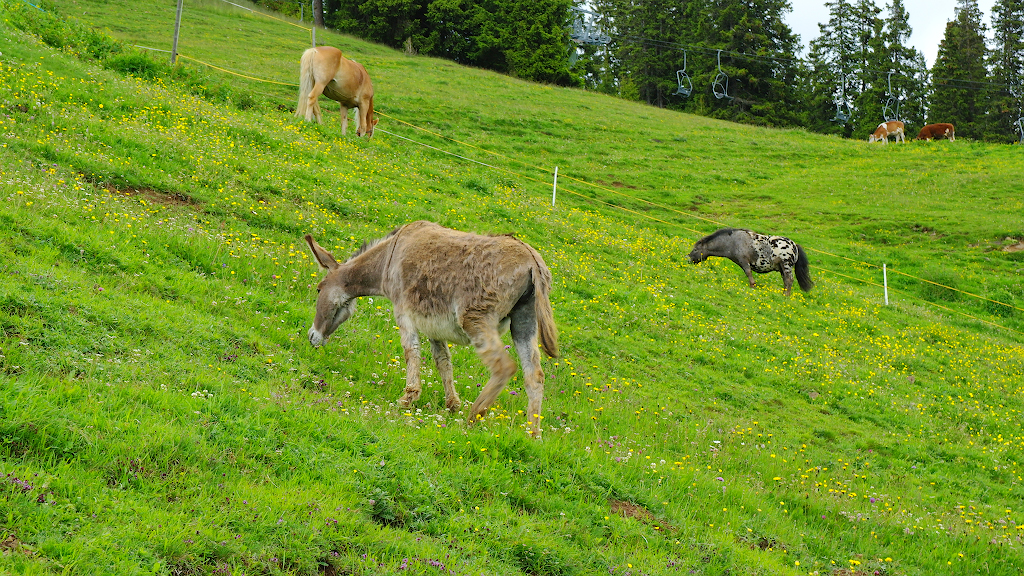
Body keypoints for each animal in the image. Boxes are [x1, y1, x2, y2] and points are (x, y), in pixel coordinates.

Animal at [303, 219, 561, 434]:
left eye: (318, 289)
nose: (311, 337)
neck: (388, 258)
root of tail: (532, 260)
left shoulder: (404, 312)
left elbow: (411, 352)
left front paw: (407, 399)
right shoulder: (433, 326)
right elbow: (443, 362)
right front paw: (452, 404)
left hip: (475, 319)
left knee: (503, 367)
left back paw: (474, 416)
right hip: (524, 321)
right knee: (534, 376)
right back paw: (533, 434)